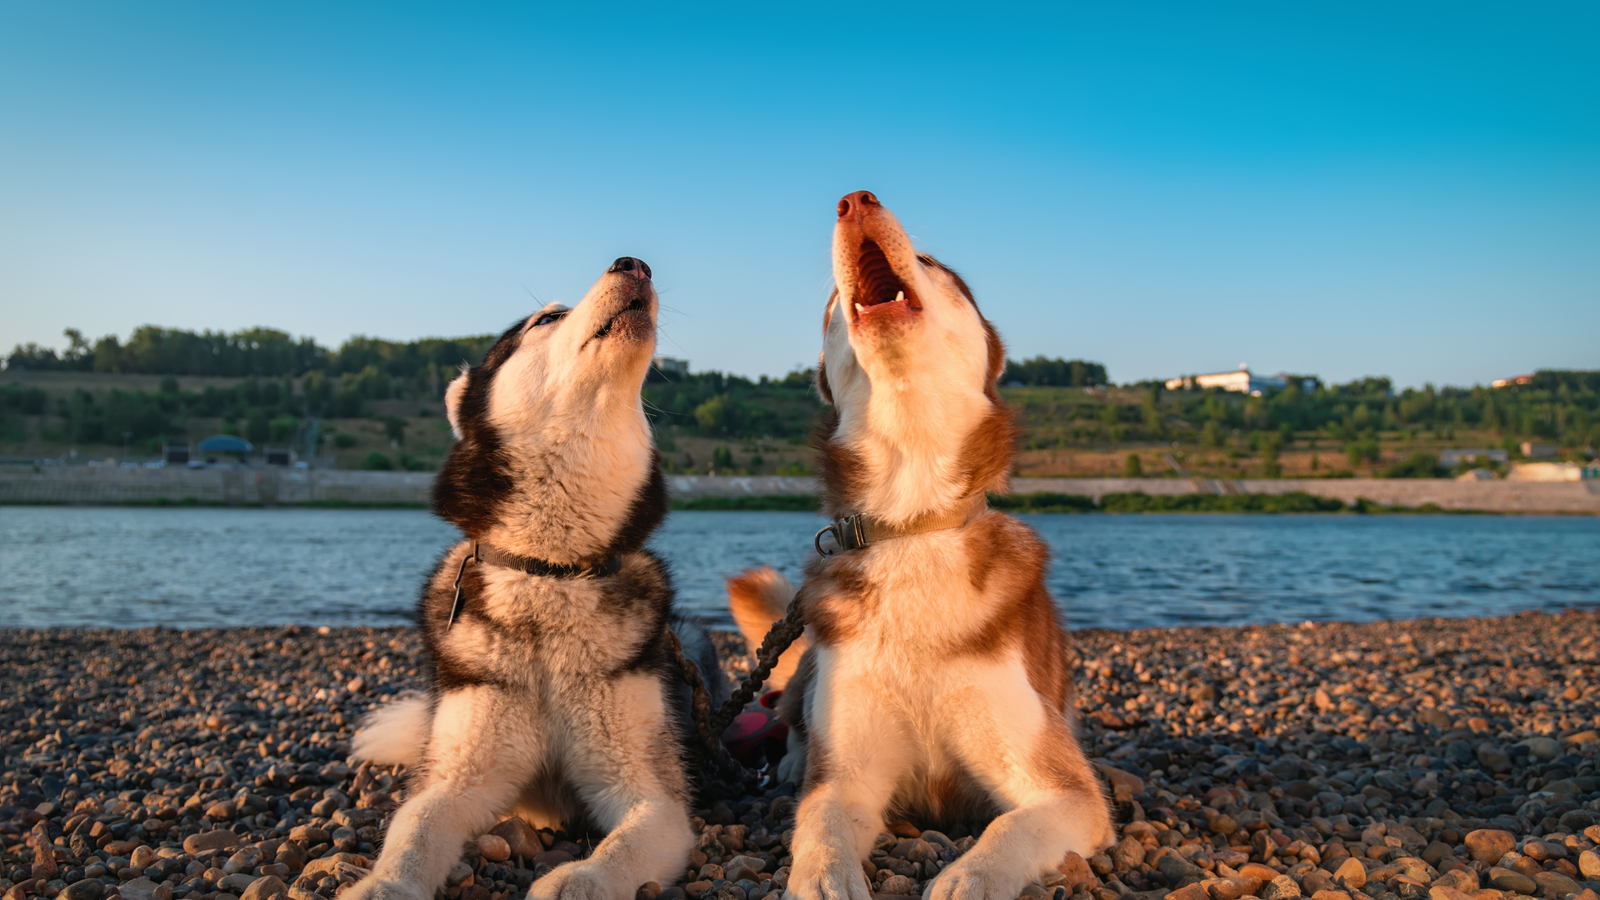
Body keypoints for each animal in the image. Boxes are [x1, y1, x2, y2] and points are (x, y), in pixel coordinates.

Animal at [353, 256, 729, 896]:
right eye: (547, 319)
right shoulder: (460, 774)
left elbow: (622, 847)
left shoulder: (652, 795)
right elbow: (415, 828)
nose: (635, 264)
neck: (552, 573)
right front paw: (384, 884)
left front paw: (578, 881)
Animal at [729, 192, 1113, 896]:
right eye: (832, 300)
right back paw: (791, 760)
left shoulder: (1068, 791)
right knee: (787, 714)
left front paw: (970, 878)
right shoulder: (848, 777)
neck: (911, 523)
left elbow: (1010, 826)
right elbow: (819, 827)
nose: (855, 201)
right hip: (809, 666)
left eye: (934, 264)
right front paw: (821, 878)